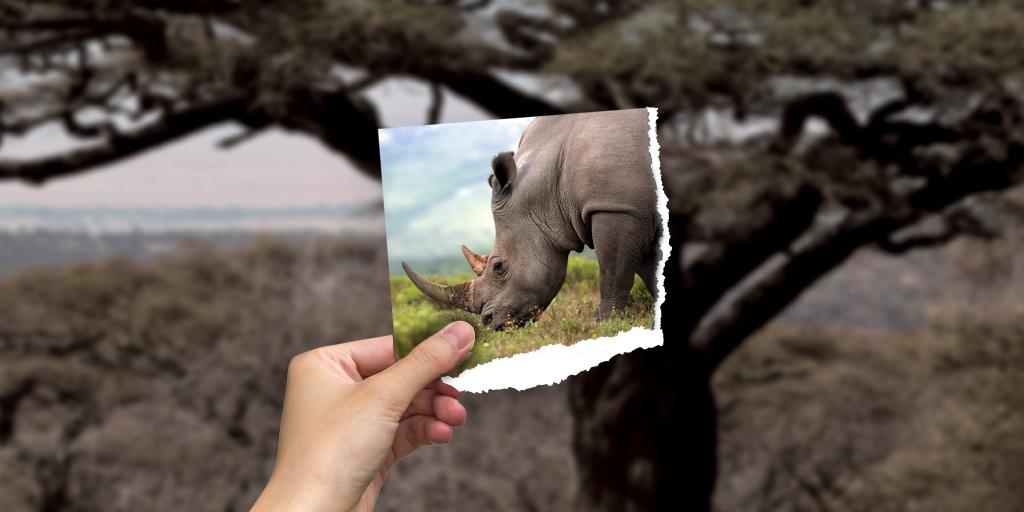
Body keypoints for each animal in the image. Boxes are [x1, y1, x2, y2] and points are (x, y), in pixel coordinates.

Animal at [402, 108, 661, 331]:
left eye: (498, 266)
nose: (488, 322)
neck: (547, 187)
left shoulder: (615, 207)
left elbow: (613, 271)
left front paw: (605, 324)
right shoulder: (635, 210)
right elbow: (648, 268)